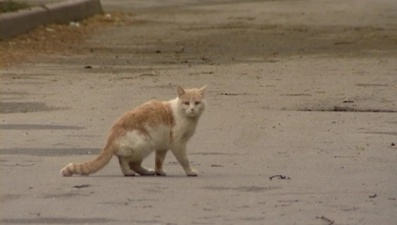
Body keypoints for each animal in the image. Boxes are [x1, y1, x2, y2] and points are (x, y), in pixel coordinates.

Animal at [61, 85, 207, 177]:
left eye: (197, 103)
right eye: (187, 103)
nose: (192, 109)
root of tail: (111, 137)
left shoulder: (162, 146)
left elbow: (159, 161)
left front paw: (159, 171)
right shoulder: (178, 144)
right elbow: (184, 160)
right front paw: (190, 171)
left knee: (131, 162)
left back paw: (146, 172)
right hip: (146, 142)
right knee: (126, 160)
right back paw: (128, 172)